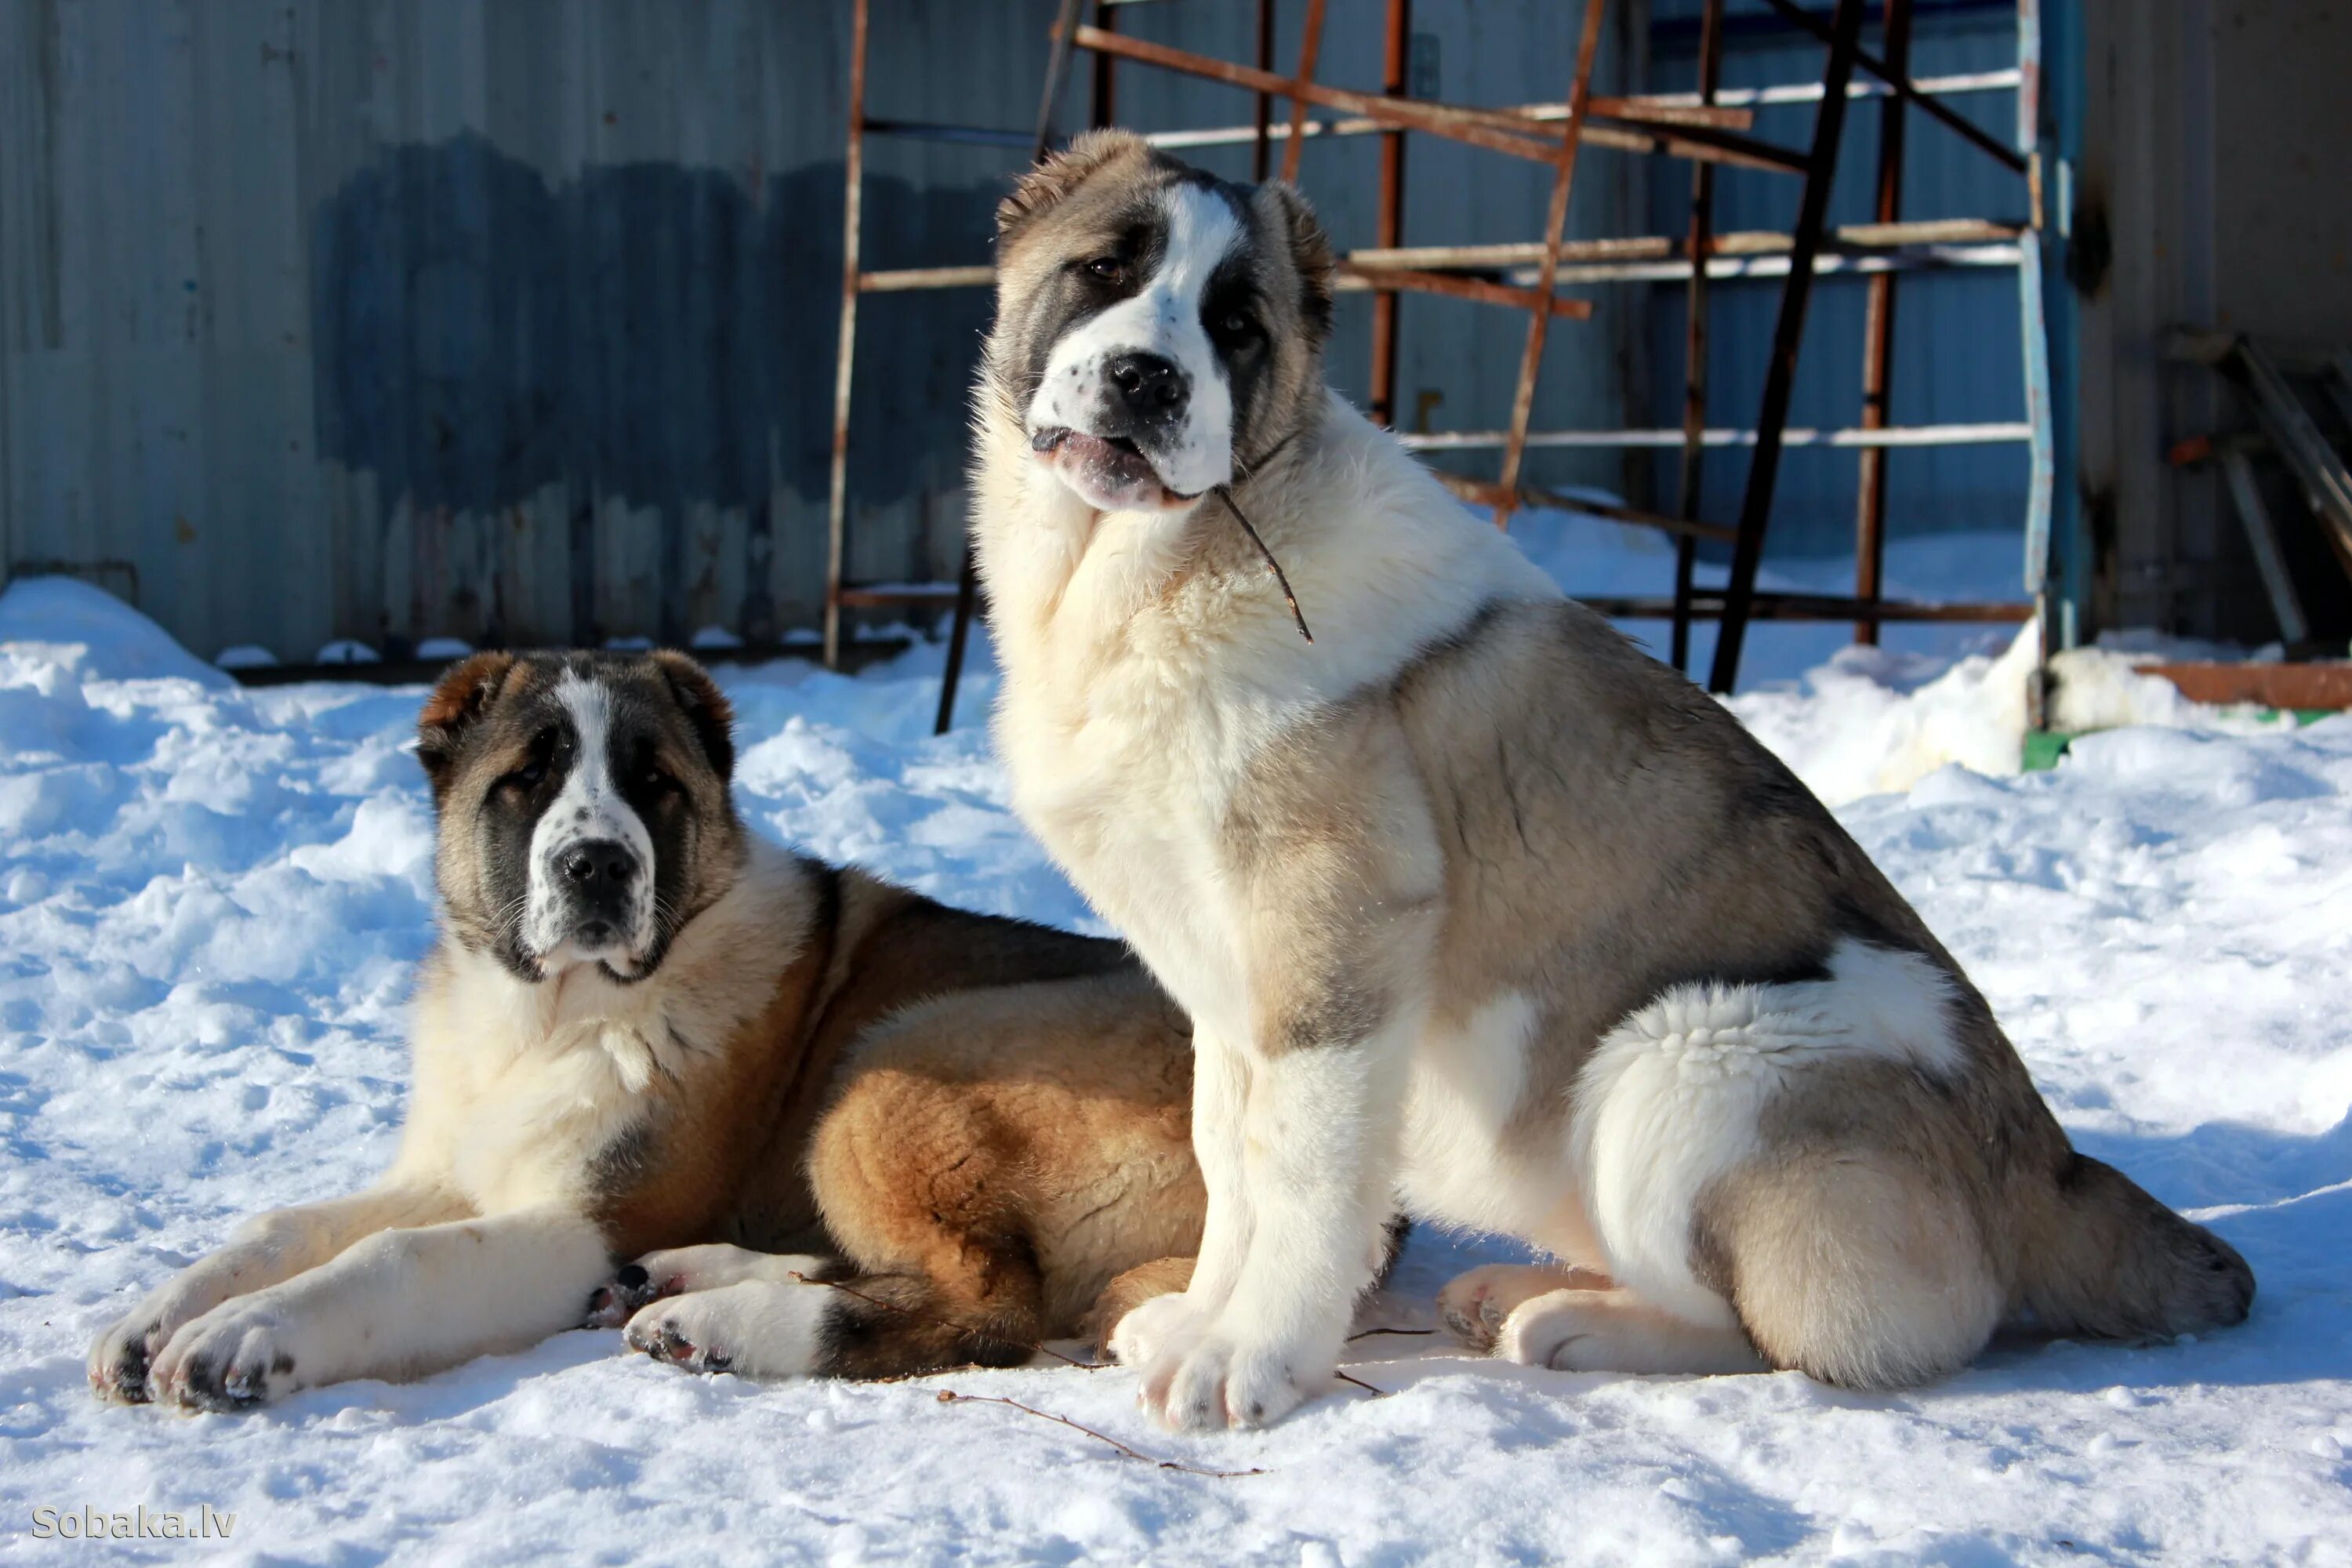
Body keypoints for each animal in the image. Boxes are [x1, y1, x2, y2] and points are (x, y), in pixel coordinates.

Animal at [87, 648, 1214, 1410]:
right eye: (527, 778)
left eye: (654, 782)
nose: (598, 864)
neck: (548, 1017)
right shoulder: (460, 1164)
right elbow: (283, 1224)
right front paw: (158, 1315)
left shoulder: (595, 1214)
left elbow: (397, 1255)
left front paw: (248, 1331)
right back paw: (680, 1281)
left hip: (897, 1057)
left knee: (991, 1303)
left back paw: (714, 1322)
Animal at [964, 131, 2249, 1439]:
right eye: (1105, 270)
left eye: (1236, 326)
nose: (1147, 380)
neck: (1157, 569)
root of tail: (2046, 1166)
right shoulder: (1231, 990)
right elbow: (1232, 1161)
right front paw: (1201, 1316)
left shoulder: (1337, 938)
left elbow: (1302, 1171)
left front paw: (1253, 1358)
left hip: (1684, 1062)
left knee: (1798, 1336)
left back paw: (1571, 1322)